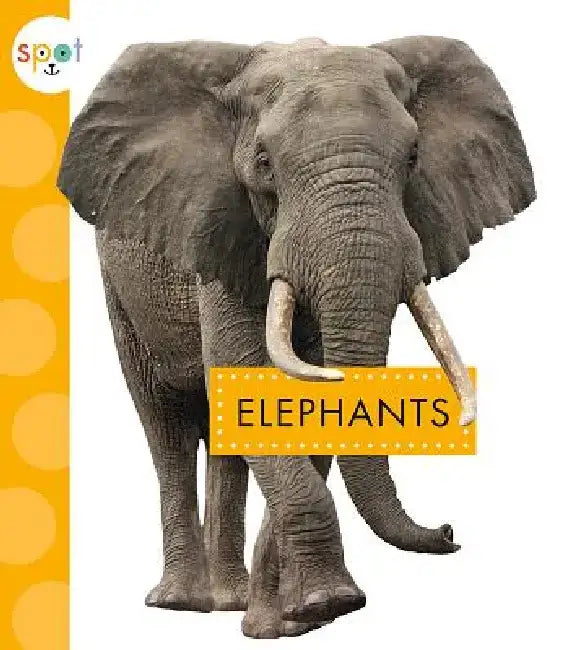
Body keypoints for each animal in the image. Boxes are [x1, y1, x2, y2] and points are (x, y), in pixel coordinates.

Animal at [57, 36, 535, 638]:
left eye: (413, 159)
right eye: (263, 163)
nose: (448, 530)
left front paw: (288, 622)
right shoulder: (220, 231)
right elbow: (246, 378)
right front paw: (326, 604)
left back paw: (231, 602)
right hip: (119, 285)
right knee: (164, 421)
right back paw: (177, 603)